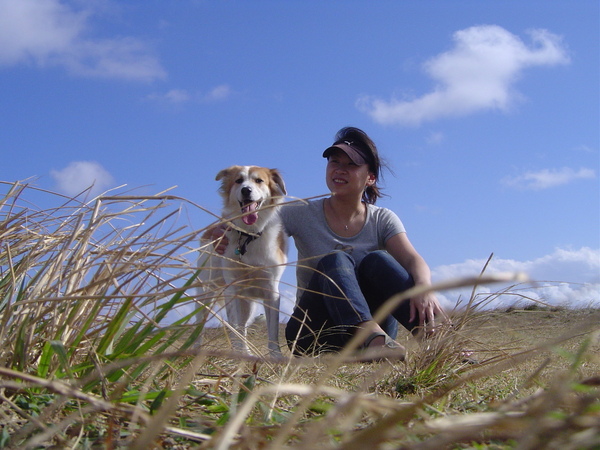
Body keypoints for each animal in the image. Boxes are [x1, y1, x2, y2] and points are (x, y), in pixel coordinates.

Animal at [197, 163, 288, 356]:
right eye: (238, 181)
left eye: (259, 180)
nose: (246, 190)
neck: (248, 235)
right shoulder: (233, 289)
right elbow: (236, 328)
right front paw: (239, 355)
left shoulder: (271, 290)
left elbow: (273, 331)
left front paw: (276, 356)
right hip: (206, 292)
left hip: (249, 303)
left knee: (244, 324)